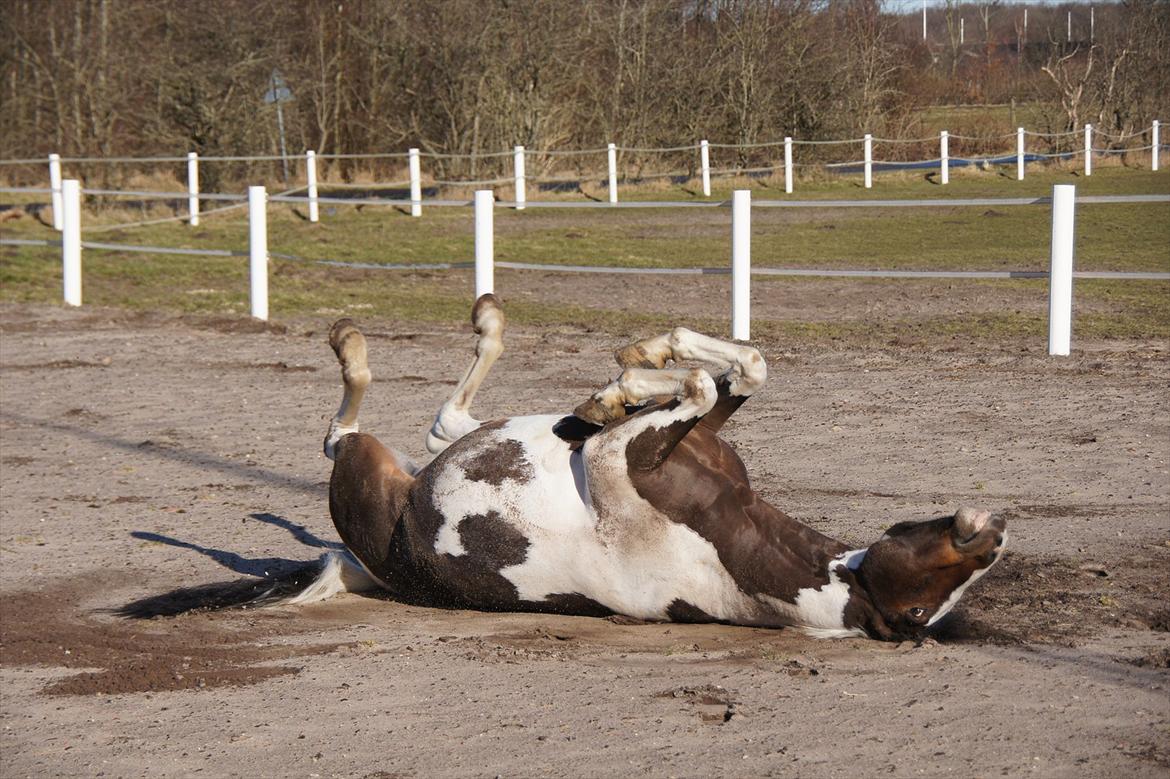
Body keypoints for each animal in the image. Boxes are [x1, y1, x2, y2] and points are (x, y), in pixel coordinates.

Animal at [294, 291, 1006, 636]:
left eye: (917, 613)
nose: (992, 533)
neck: (731, 543)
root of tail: (376, 567)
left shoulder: (615, 455)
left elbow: (697, 386)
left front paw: (622, 385)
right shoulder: (688, 441)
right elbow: (744, 367)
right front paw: (647, 356)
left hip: (363, 471)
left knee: (346, 432)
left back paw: (350, 341)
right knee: (447, 422)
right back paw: (492, 322)